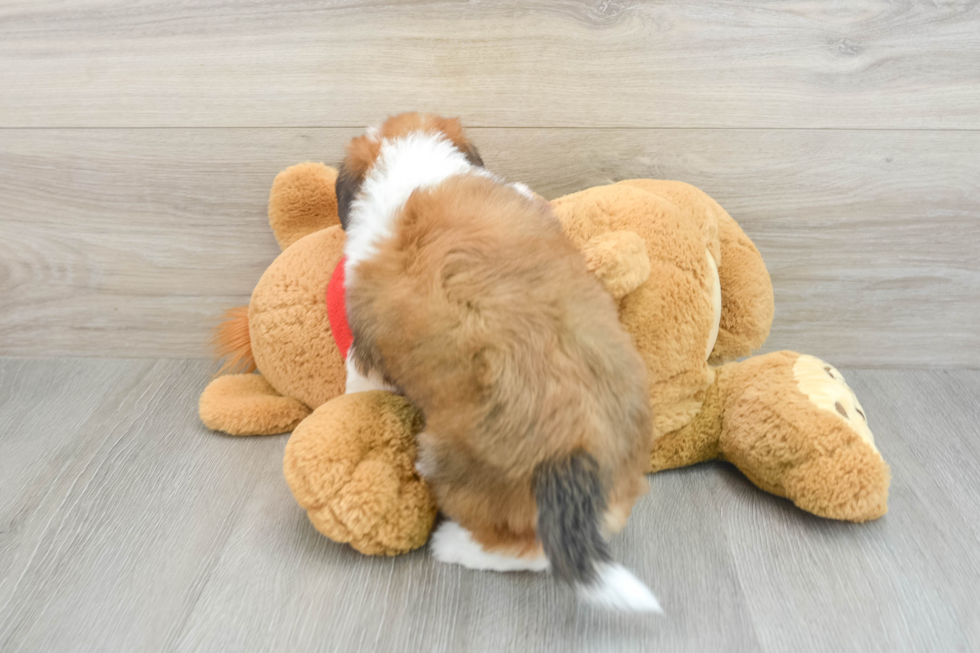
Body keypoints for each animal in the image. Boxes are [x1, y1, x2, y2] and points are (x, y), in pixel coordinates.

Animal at [334, 113, 660, 612]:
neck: (414, 162)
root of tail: (576, 444)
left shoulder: (367, 343)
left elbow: (360, 379)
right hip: (617, 484)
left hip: (457, 472)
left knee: (525, 551)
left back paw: (453, 546)